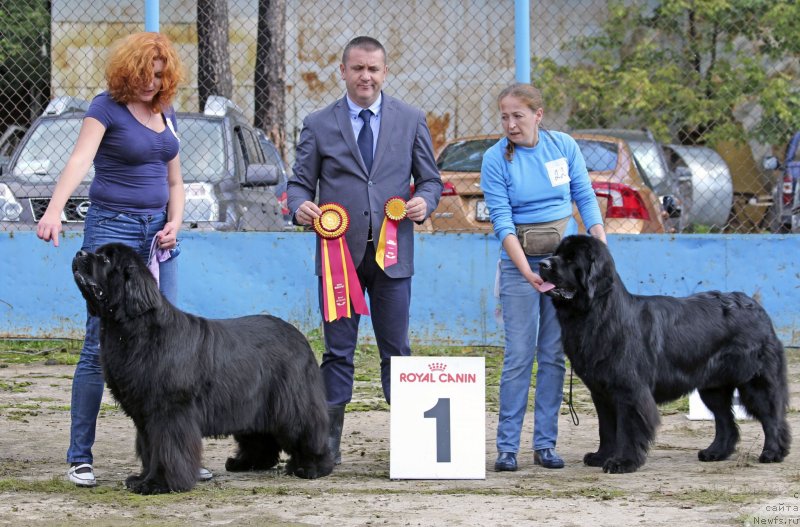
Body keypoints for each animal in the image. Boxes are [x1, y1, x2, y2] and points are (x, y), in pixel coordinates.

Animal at [69, 243, 332, 496]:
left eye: (106, 259)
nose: (79, 253)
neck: (132, 328)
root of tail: (298, 335)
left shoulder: (169, 411)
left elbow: (166, 449)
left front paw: (158, 484)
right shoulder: (144, 415)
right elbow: (149, 448)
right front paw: (141, 479)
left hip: (290, 403)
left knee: (308, 429)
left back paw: (312, 466)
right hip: (251, 403)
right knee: (260, 436)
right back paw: (245, 463)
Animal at [536, 235, 792, 474]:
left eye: (571, 258)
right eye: (557, 253)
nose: (542, 264)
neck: (598, 313)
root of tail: (755, 306)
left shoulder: (630, 391)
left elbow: (627, 428)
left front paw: (622, 462)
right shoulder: (601, 392)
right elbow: (606, 428)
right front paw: (601, 456)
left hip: (754, 381)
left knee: (772, 416)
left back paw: (772, 452)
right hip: (713, 386)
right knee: (725, 420)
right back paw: (715, 452)